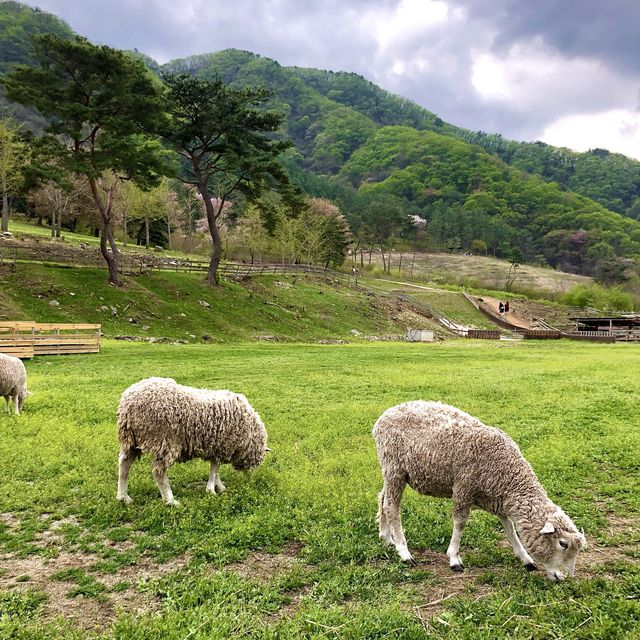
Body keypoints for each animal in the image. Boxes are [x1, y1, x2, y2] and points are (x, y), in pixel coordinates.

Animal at [116, 376, 268, 504]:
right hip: (164, 439)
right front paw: (212, 489)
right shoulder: (221, 445)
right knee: (158, 471)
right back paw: (170, 500)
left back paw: (123, 497)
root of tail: (128, 403)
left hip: (131, 439)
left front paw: (219, 486)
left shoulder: (216, 447)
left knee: (124, 464)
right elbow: (215, 468)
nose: (249, 479)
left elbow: (216, 468)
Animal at [372, 402, 588, 584]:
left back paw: (386, 538)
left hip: (390, 470)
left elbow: (509, 528)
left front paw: (525, 558)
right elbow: (460, 523)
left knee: (383, 498)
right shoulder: (463, 488)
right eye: (563, 544)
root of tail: (383, 417)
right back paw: (404, 552)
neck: (508, 475)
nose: (564, 578)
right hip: (395, 467)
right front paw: (454, 558)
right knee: (392, 507)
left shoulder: (497, 498)